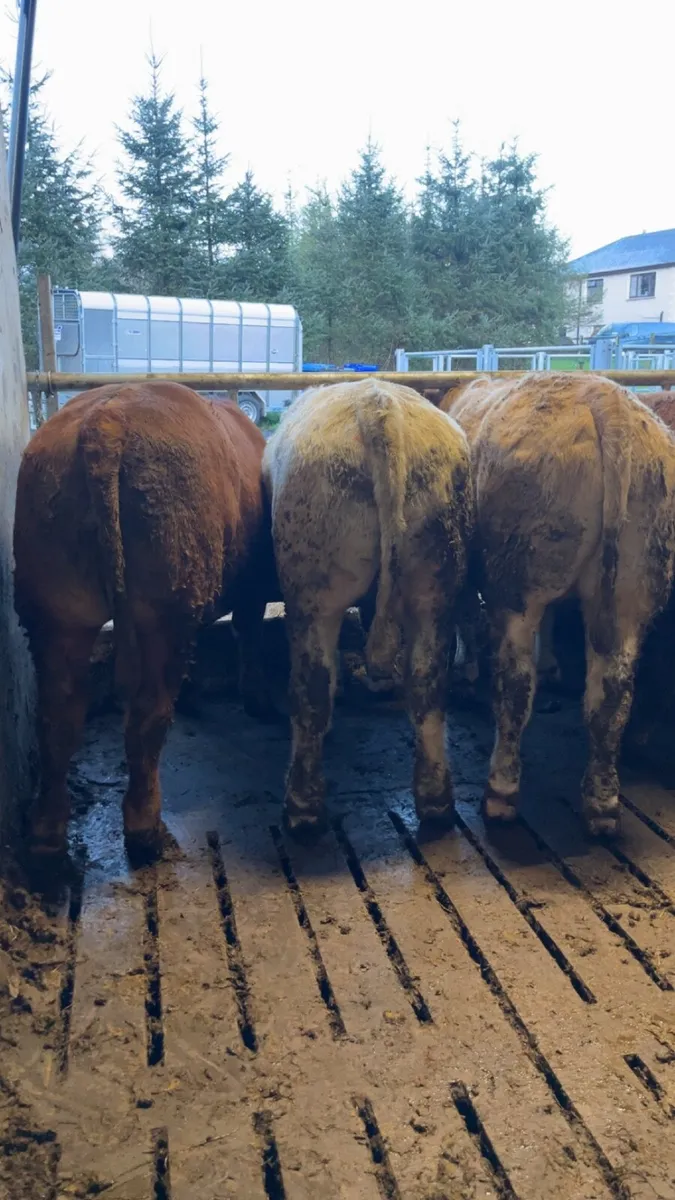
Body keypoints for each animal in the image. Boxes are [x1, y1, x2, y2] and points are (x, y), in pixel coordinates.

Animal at [14, 381, 277, 860]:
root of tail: (105, 424)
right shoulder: (247, 589)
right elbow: (247, 634)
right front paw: (257, 701)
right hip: (164, 607)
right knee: (147, 713)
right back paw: (145, 830)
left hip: (54, 602)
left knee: (57, 714)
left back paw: (46, 832)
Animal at [263, 378, 474, 836]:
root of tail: (378, 407)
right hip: (436, 580)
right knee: (428, 684)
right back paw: (436, 803)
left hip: (313, 589)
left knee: (312, 688)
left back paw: (302, 808)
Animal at [435, 372, 675, 836]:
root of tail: (608, 405)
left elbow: (467, 621)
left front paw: (466, 675)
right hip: (633, 587)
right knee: (612, 694)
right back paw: (602, 803)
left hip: (519, 581)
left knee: (515, 687)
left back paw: (501, 793)